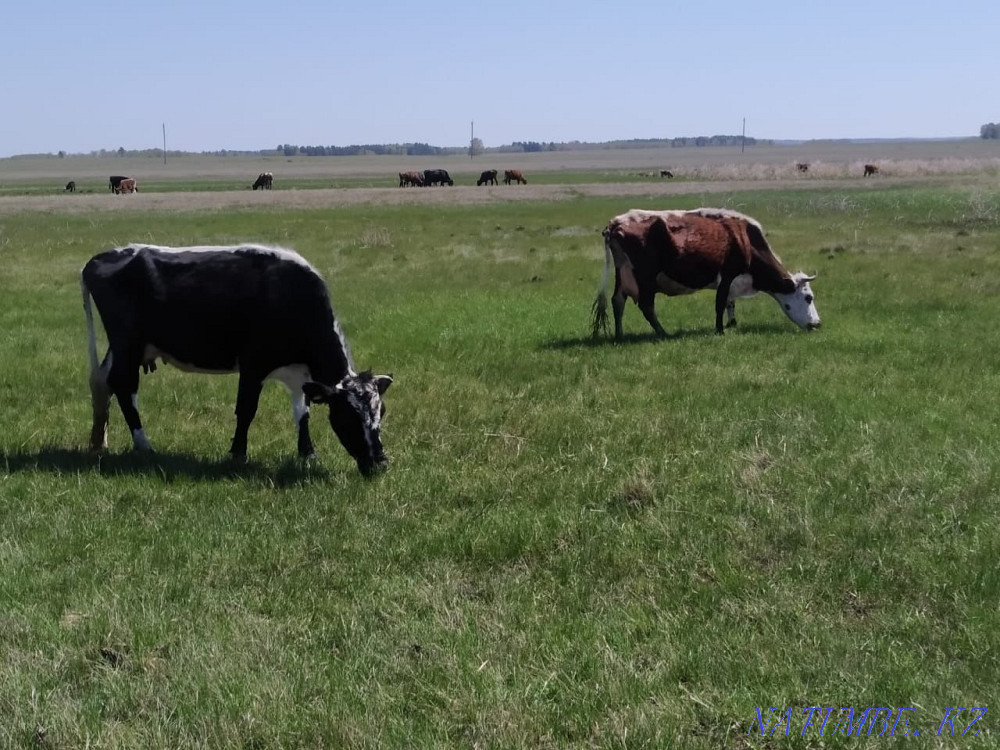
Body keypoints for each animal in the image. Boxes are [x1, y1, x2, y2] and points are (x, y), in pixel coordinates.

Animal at [81, 244, 393, 475]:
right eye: (349, 416)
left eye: (381, 411)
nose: (380, 464)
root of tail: (103, 256)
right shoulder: (253, 365)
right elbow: (246, 410)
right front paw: (238, 454)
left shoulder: (301, 375)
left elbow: (301, 413)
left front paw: (308, 455)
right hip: (128, 345)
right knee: (124, 387)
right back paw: (144, 445)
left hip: (126, 348)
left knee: (104, 382)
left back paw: (99, 443)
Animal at [591, 208, 820, 339]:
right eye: (808, 297)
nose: (817, 324)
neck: (745, 239)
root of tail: (616, 223)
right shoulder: (727, 276)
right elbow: (720, 303)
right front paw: (720, 330)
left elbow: (729, 303)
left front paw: (731, 323)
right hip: (644, 277)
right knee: (646, 306)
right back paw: (663, 333)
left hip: (622, 274)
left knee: (618, 301)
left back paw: (620, 335)